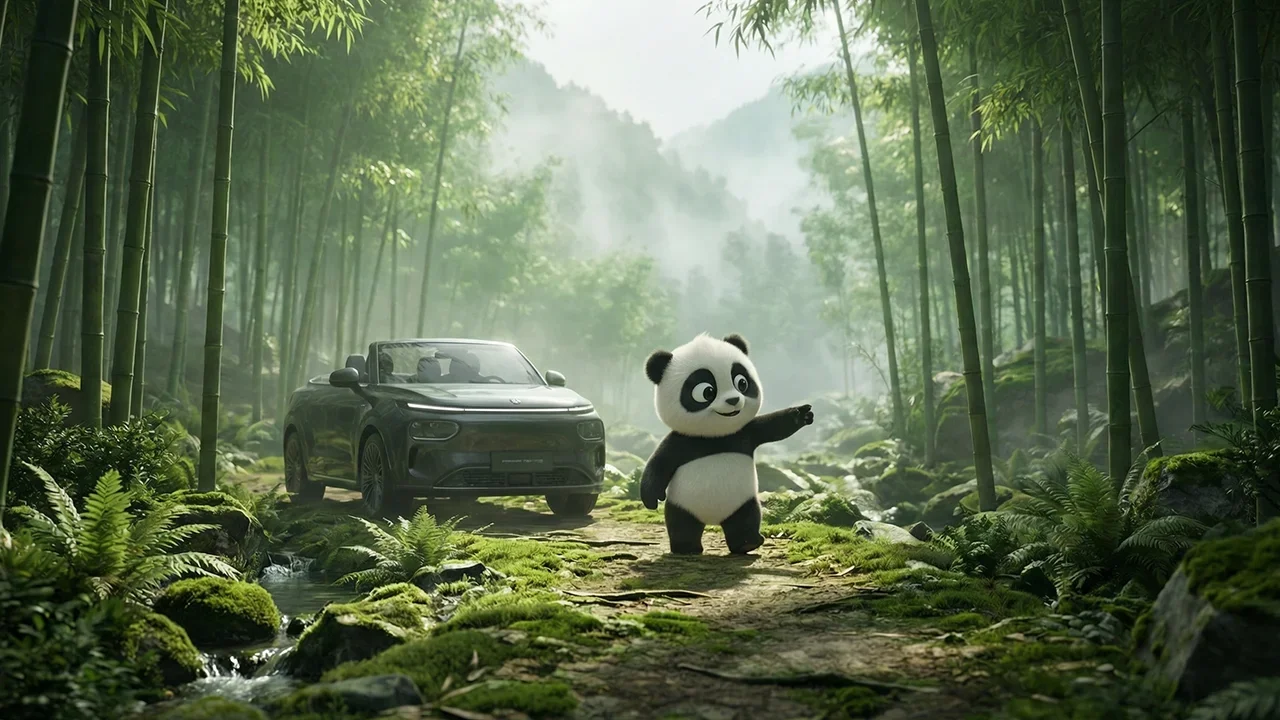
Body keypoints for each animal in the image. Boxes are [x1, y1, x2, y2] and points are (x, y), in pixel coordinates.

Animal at [640, 333, 815, 555]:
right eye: (707, 391)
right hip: (682, 504)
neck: (715, 437)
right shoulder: (680, 441)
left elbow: (775, 427)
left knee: (746, 519)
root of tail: (712, 519)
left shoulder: (745, 433)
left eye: (742, 383)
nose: (733, 400)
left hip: (743, 501)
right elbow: (659, 463)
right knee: (681, 523)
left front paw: (801, 414)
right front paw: (651, 498)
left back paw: (747, 543)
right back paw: (686, 548)